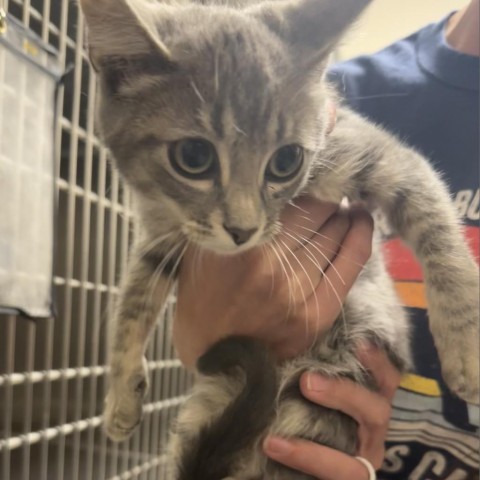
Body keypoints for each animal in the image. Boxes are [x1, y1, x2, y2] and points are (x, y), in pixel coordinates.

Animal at [80, 0, 478, 476]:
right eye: (193, 157)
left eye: (287, 161)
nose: (242, 230)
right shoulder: (163, 230)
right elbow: (133, 300)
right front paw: (121, 397)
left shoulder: (376, 155)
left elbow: (439, 227)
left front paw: (466, 350)